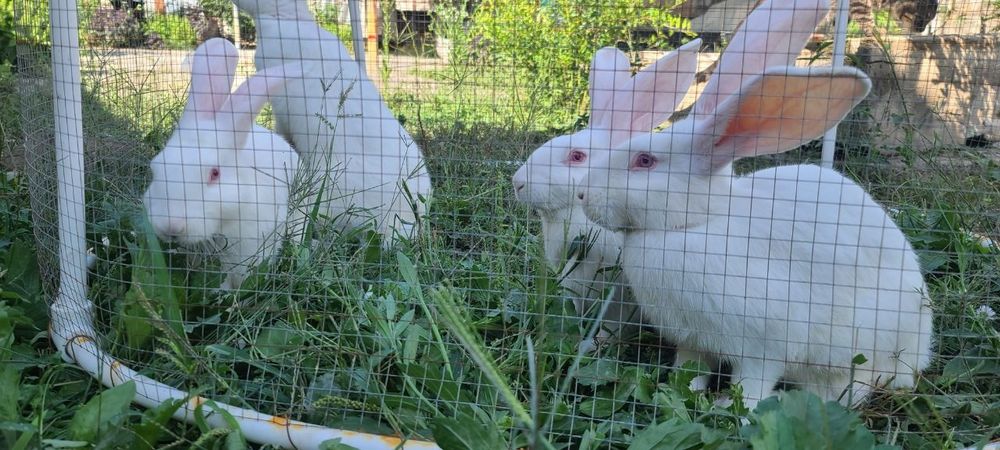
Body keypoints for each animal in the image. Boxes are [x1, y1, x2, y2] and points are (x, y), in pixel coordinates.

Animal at [512, 39, 701, 352]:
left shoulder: (621, 298)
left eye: (577, 156)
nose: (517, 183)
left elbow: (615, 327)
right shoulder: (574, 287)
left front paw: (593, 346)